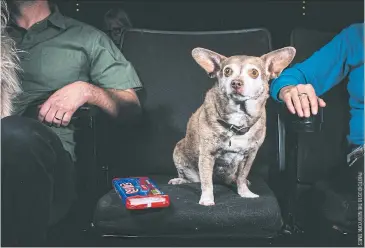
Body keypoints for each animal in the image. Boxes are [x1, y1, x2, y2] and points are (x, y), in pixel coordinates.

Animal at [169, 46, 294, 205]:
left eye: (254, 73)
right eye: (227, 71)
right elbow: (206, 181)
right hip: (178, 150)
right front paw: (207, 199)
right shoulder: (207, 154)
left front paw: (245, 192)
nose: (236, 83)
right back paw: (180, 180)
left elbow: (242, 176)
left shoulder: (250, 155)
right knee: (193, 179)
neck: (237, 120)